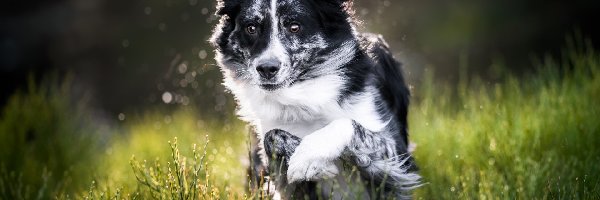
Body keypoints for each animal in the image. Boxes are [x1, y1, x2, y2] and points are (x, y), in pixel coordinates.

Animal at [211, 0, 422, 198]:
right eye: (251, 28)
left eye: (294, 26)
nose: (266, 69)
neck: (302, 96)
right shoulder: (284, 184)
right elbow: (271, 136)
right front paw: (314, 163)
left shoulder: (396, 156)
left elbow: (347, 123)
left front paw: (308, 157)